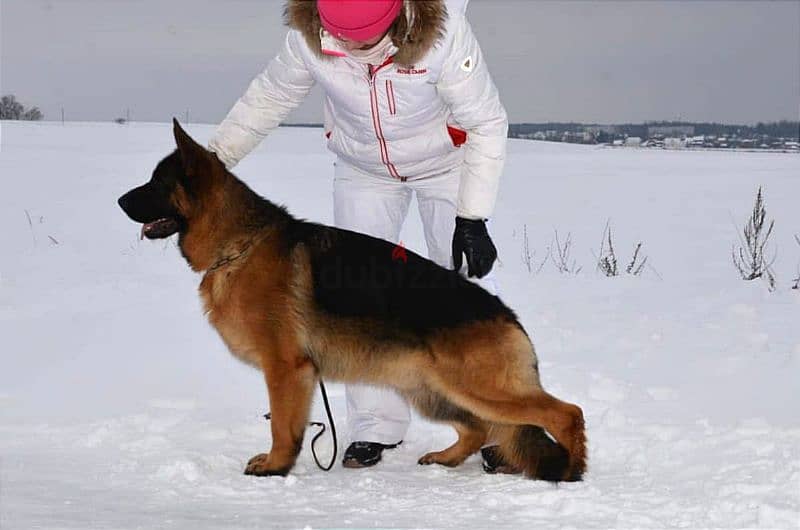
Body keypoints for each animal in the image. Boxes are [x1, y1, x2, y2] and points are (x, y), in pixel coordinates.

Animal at [115, 121, 584, 480]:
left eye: (156, 184)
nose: (118, 200)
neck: (239, 243)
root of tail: (508, 316)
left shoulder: (286, 370)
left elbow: (282, 427)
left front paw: (275, 467)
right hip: (433, 389)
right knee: (480, 430)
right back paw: (447, 458)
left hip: (478, 388)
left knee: (565, 413)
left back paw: (570, 470)